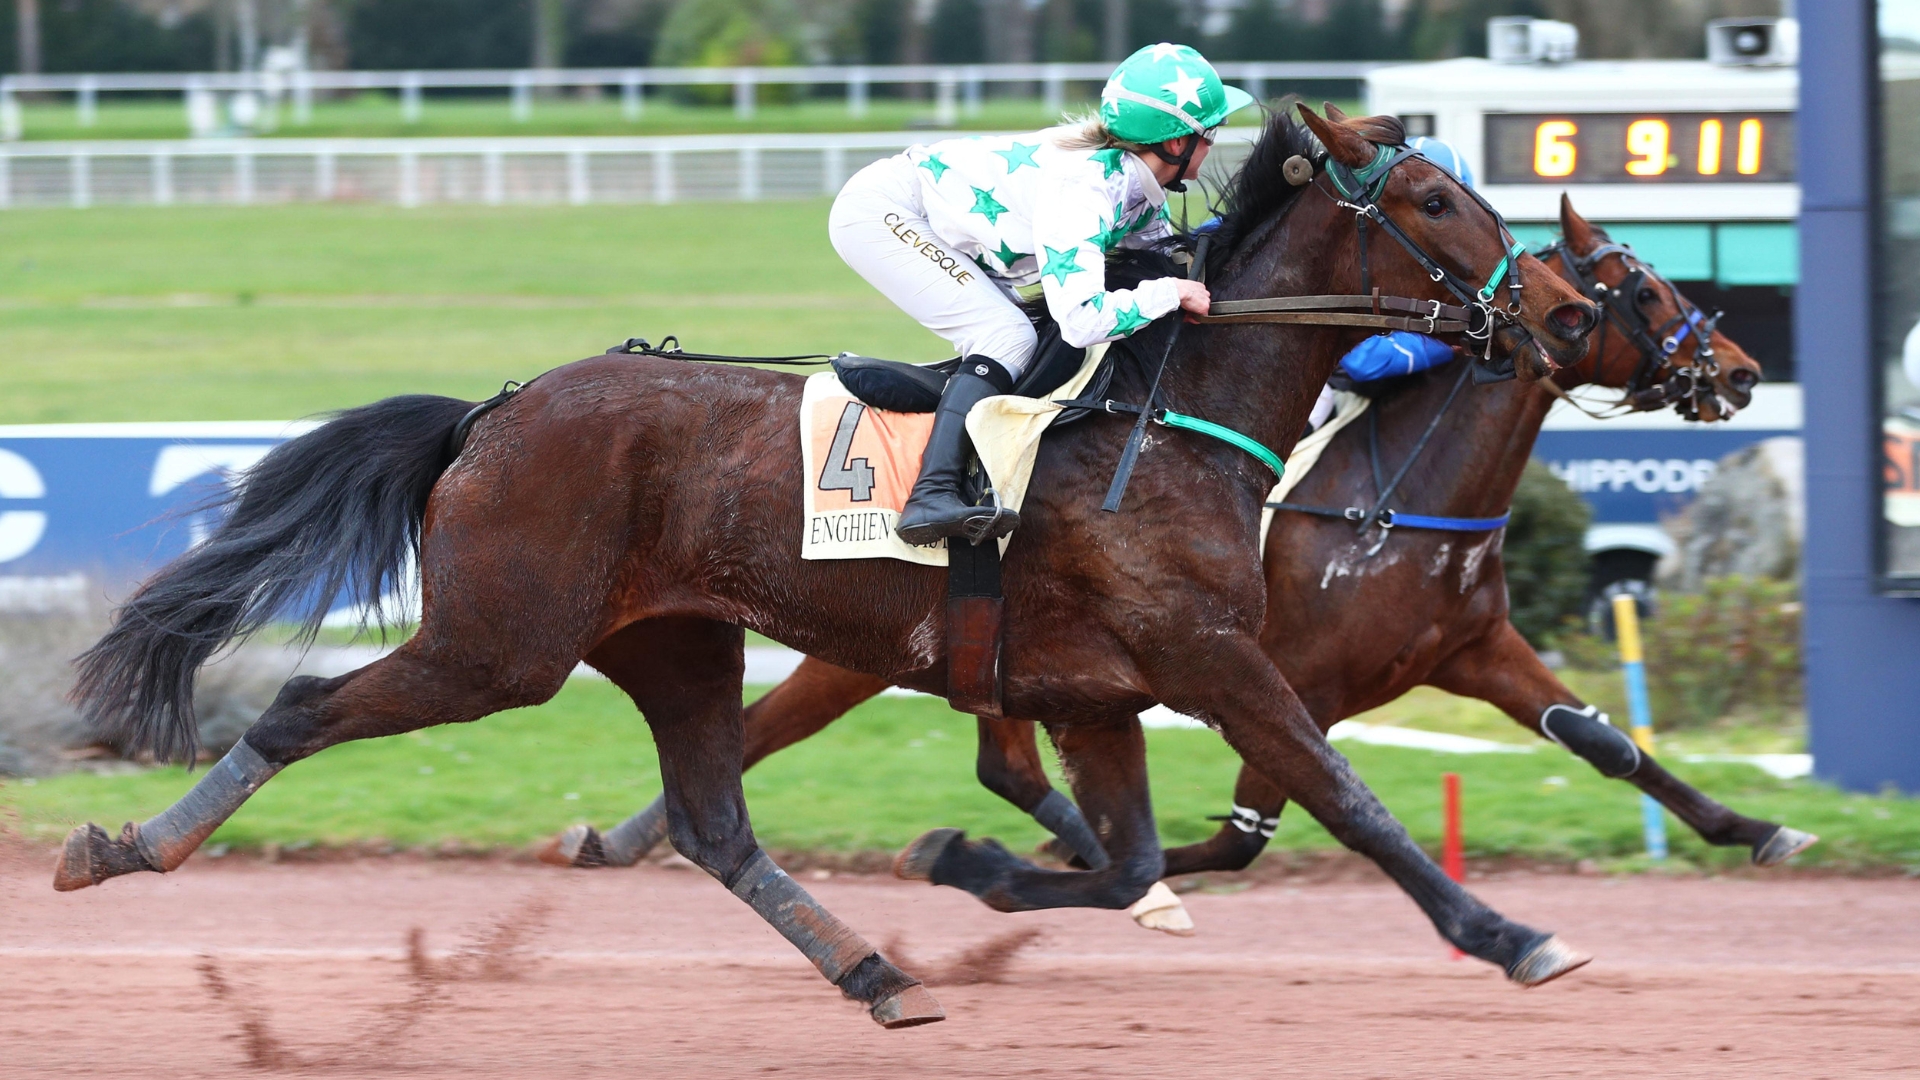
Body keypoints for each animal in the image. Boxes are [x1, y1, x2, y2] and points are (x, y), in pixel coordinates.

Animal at [57, 105, 1598, 1028]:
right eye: (1433, 197)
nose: (1552, 310)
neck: (1172, 421)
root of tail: (493, 412)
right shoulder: (1210, 658)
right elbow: (1349, 801)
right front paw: (1512, 934)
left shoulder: (1102, 690)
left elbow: (1128, 862)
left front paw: (968, 862)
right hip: (499, 643)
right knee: (301, 711)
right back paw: (125, 844)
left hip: (671, 641)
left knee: (713, 824)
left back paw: (874, 968)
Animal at [552, 192, 1817, 910]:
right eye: (1638, 284)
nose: (1738, 369)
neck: (1388, 501)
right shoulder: (1278, 672)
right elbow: (1257, 826)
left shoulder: (1469, 649)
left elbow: (1605, 741)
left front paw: (1759, 828)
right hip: (874, 640)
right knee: (783, 726)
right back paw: (630, 837)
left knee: (972, 755)